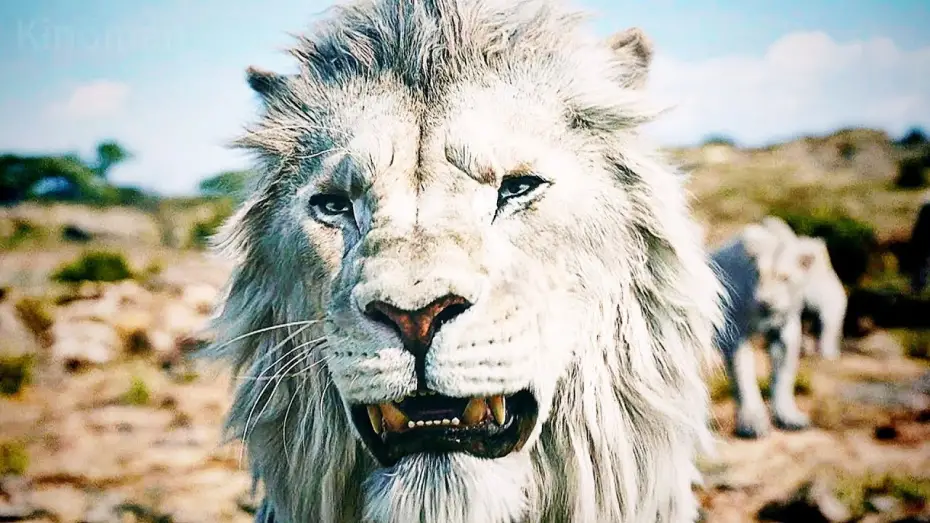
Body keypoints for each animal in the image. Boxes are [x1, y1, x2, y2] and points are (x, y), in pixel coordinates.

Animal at [710, 216, 822, 438]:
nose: (765, 302)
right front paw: (752, 425)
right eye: (758, 274)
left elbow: (783, 376)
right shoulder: (735, 335)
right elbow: (743, 375)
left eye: (784, 278)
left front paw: (789, 418)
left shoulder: (786, 331)